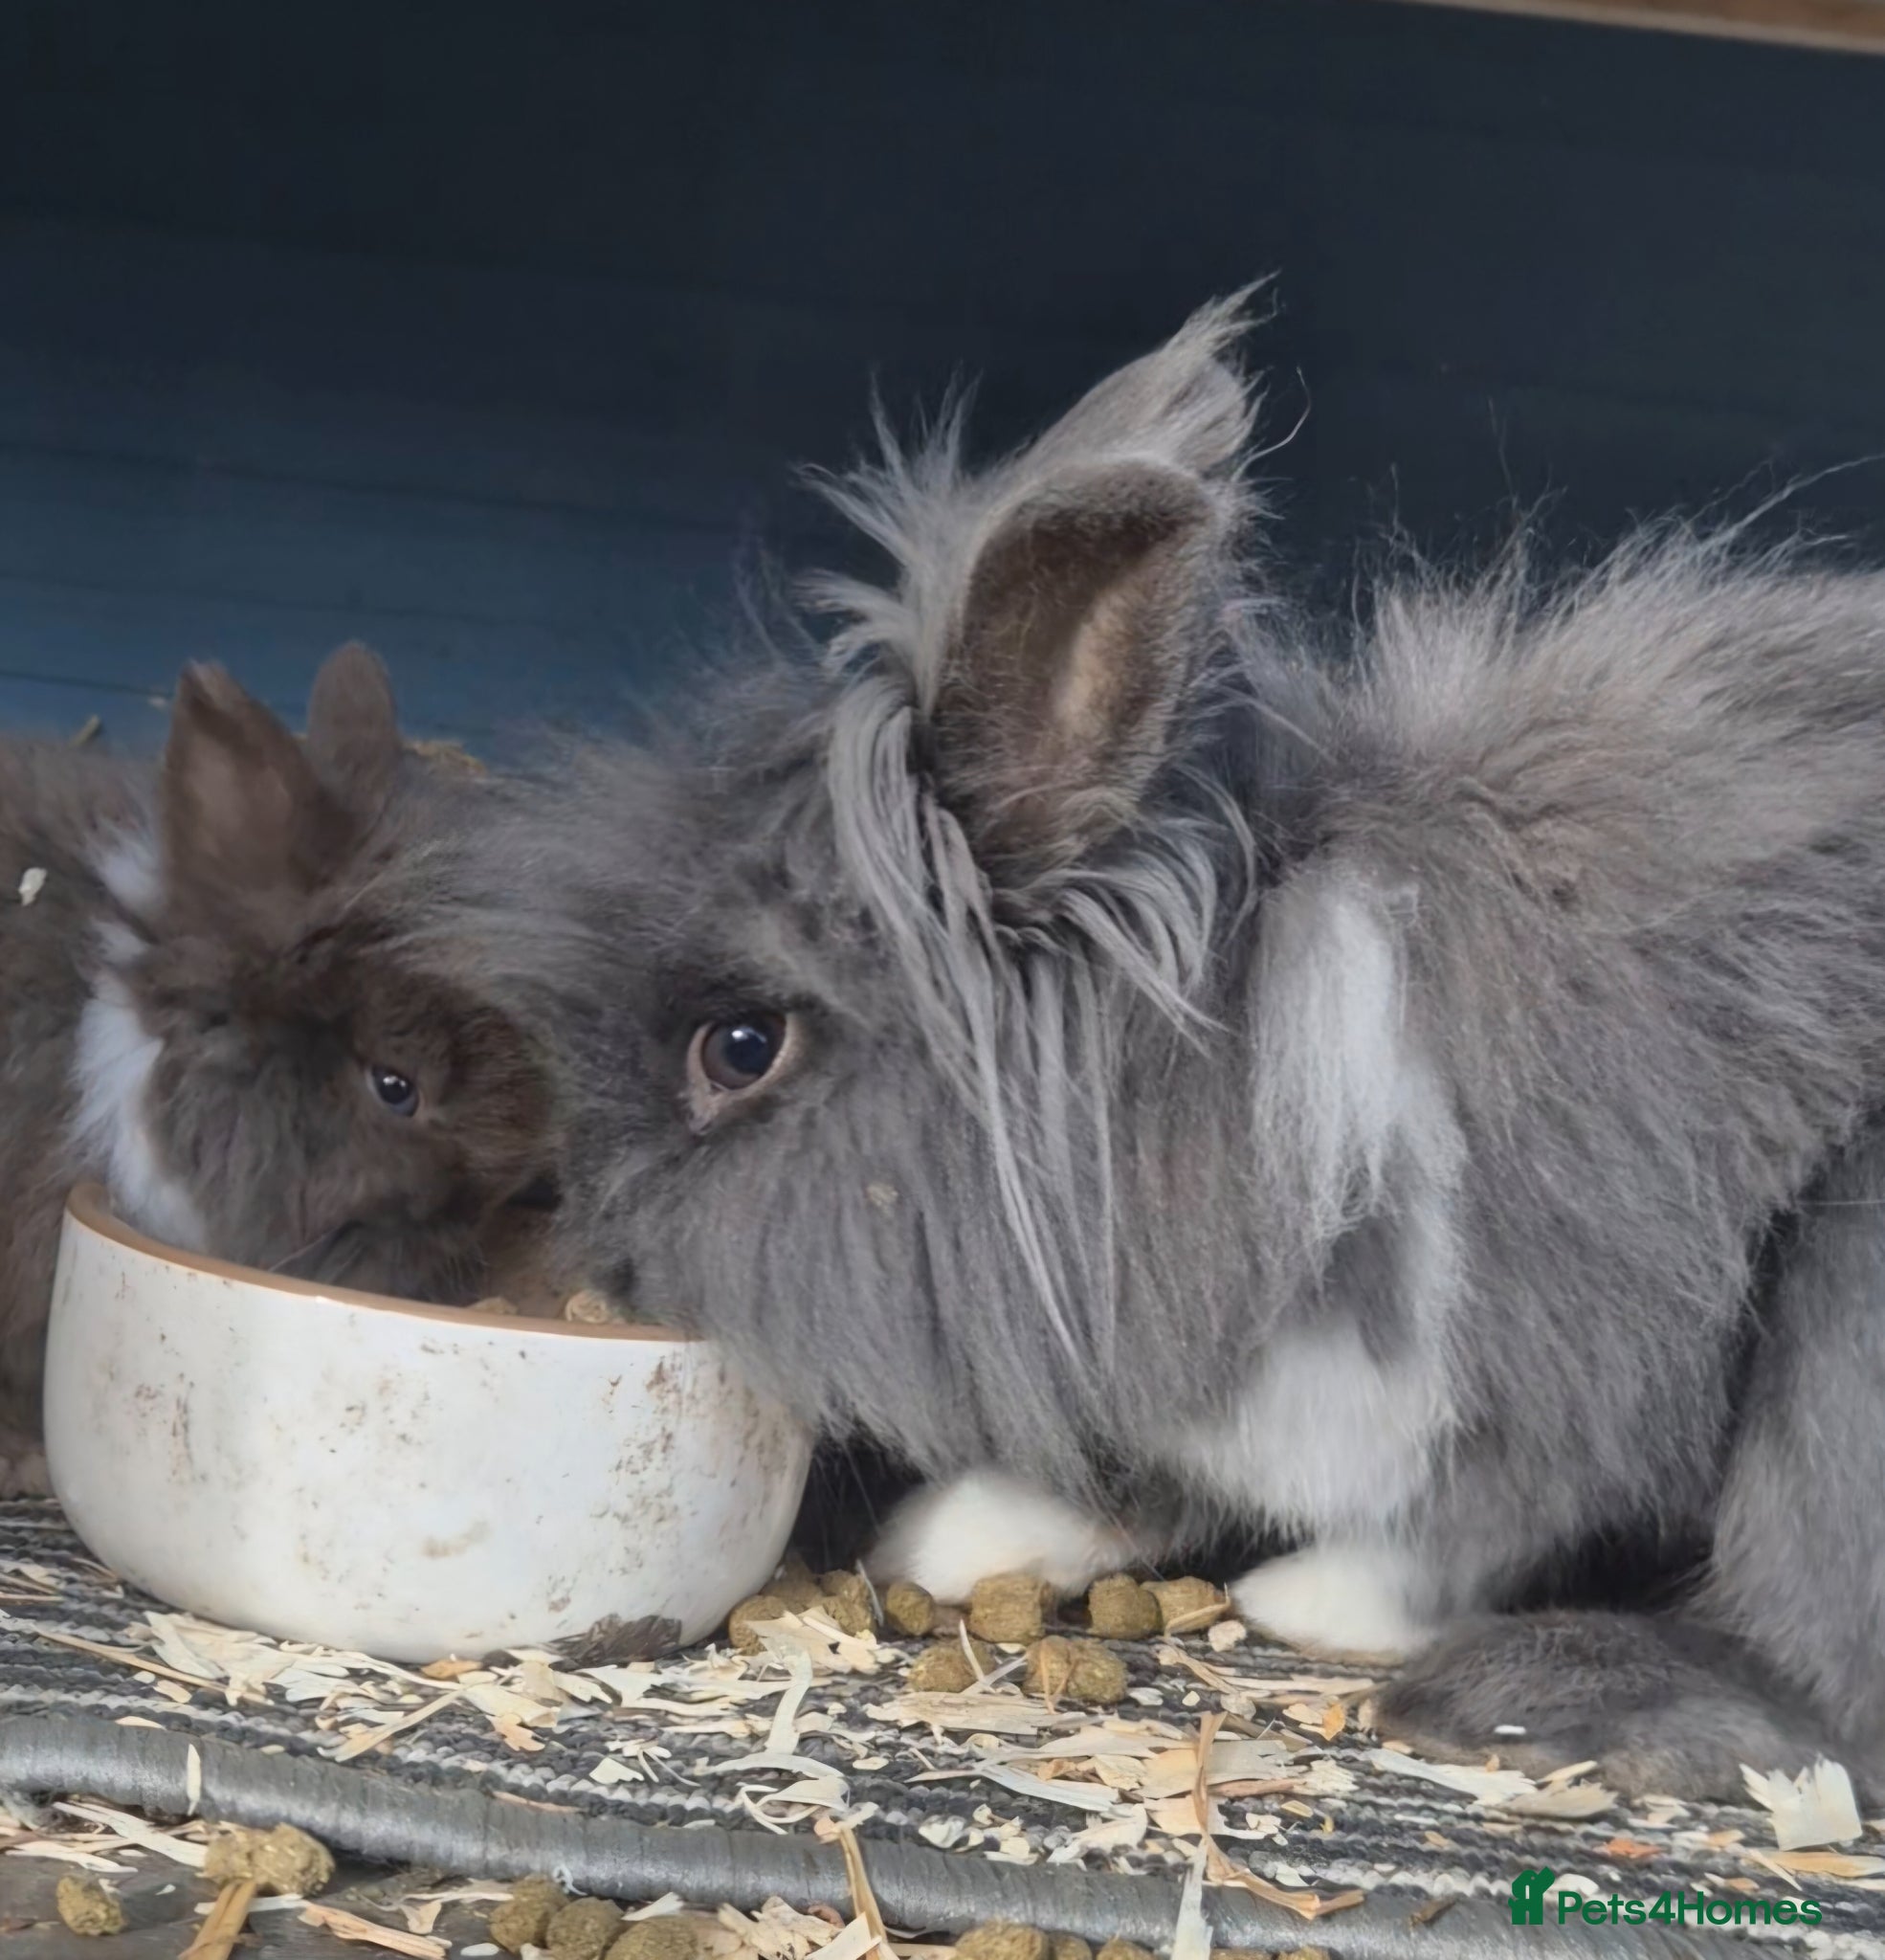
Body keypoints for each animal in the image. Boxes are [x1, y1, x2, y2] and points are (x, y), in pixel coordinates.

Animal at [480, 292, 1885, 1801]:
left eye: (740, 1047)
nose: (597, 1255)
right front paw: (958, 1534)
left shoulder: (1556, 1348)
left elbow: (1468, 1516)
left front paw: (1315, 1604)